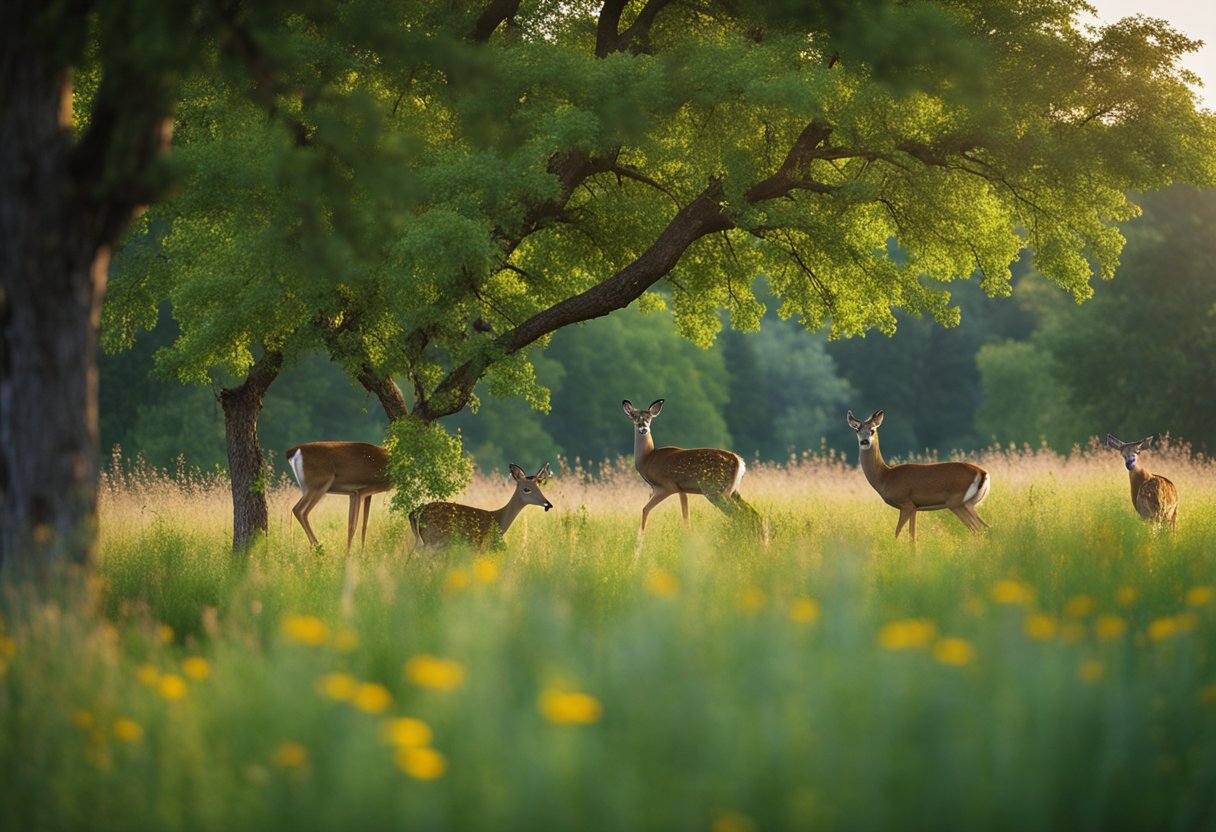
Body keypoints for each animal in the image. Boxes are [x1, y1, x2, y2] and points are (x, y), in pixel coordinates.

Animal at [409, 463, 553, 548]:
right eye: (526, 489)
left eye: (539, 487)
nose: (548, 504)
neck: (499, 520)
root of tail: (416, 512)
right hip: (433, 538)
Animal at [621, 399, 759, 532]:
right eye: (634, 416)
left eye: (649, 418)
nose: (643, 428)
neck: (647, 459)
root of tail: (738, 460)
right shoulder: (668, 489)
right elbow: (650, 510)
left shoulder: (669, 486)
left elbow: (677, 516)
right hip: (733, 491)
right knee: (753, 514)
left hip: (714, 490)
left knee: (739, 514)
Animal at [846, 409, 990, 541]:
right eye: (857, 430)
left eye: (872, 430)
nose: (865, 441)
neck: (885, 477)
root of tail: (983, 473)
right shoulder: (915, 508)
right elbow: (912, 537)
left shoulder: (906, 503)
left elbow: (898, 534)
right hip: (969, 504)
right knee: (986, 527)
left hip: (957, 503)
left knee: (978, 529)